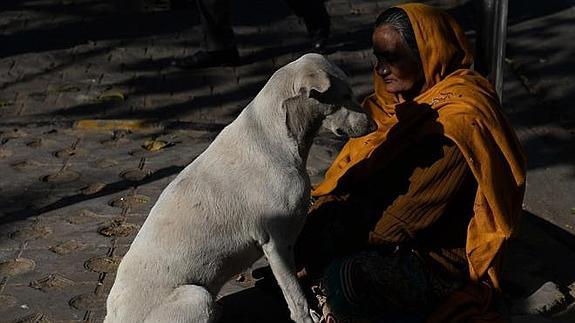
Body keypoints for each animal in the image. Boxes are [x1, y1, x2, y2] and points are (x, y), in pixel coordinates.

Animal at [105, 53, 376, 323]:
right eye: (345, 95)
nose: (374, 126)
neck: (278, 135)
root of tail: (113, 317)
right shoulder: (276, 243)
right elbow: (295, 295)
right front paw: (306, 317)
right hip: (197, 296)